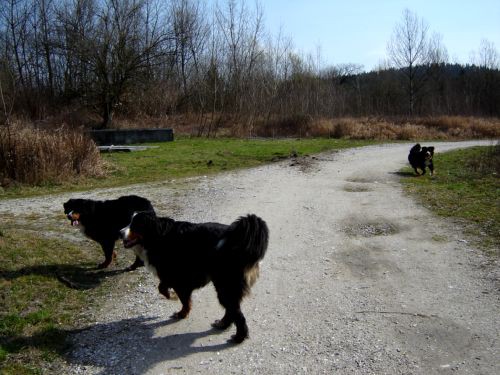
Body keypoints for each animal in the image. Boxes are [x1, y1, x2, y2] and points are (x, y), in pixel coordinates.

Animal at [120, 212, 270, 344]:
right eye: (129, 221)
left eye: (136, 224)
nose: (120, 232)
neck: (157, 236)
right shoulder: (175, 277)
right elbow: (167, 290)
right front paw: (176, 303)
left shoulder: (178, 278)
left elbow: (174, 295)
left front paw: (177, 305)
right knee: (231, 310)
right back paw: (222, 324)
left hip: (225, 285)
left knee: (237, 314)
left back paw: (239, 337)